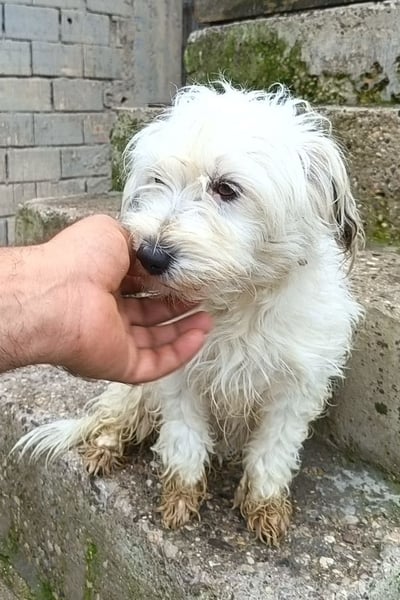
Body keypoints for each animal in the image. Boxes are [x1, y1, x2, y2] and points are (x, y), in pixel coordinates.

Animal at [15, 82, 362, 545]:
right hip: (133, 390)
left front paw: (265, 506)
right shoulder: (179, 378)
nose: (150, 255)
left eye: (226, 188)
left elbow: (273, 452)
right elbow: (185, 440)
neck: (236, 301)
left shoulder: (295, 389)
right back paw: (104, 447)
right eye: (158, 180)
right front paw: (181, 498)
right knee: (112, 416)